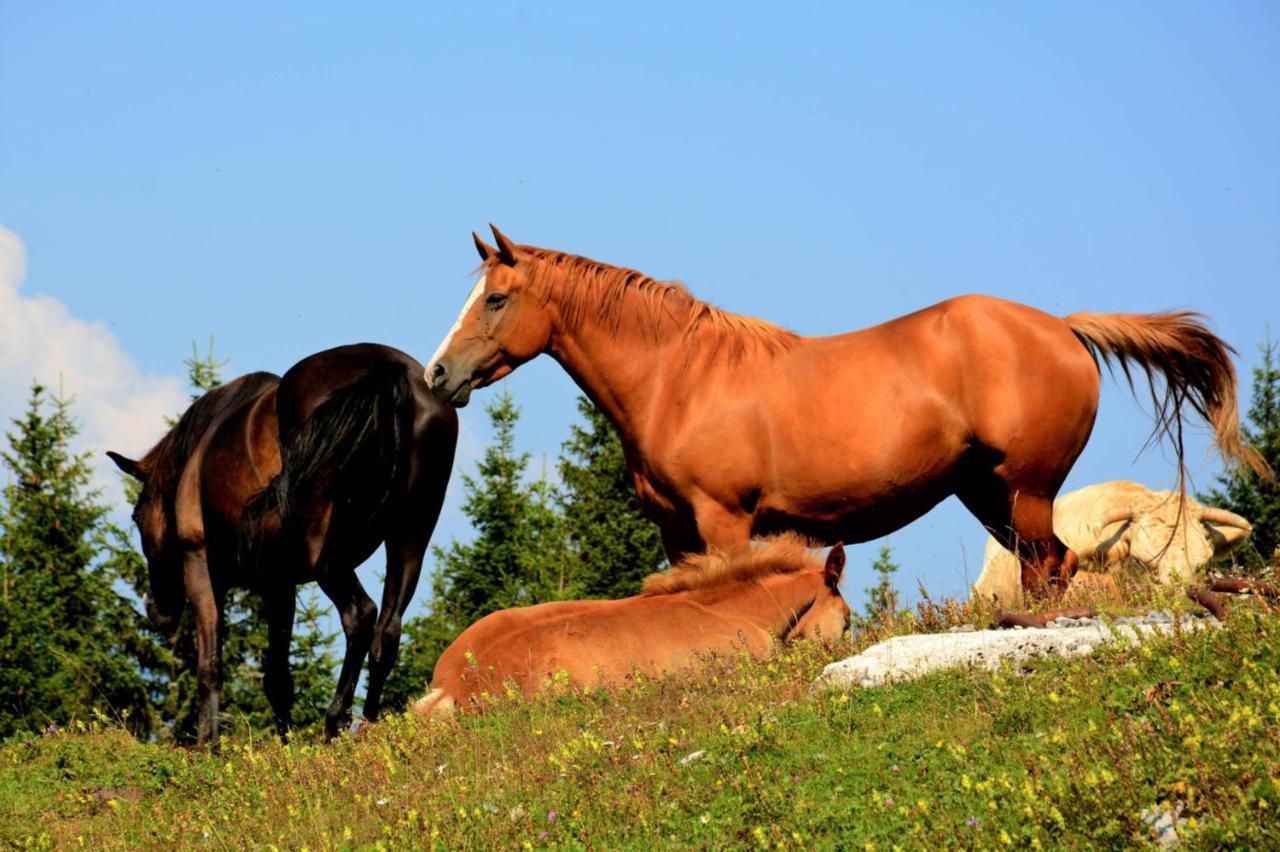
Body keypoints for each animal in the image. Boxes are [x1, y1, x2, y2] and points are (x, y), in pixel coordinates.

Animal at [110, 342, 458, 741]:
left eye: (137, 517)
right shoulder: (278, 582)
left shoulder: (202, 568)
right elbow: (278, 678)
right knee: (387, 631)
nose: (157, 610)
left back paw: (336, 720)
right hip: (410, 539)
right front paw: (284, 739)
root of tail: (389, 370)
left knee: (360, 615)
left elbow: (211, 665)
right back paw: (366, 727)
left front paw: (208, 742)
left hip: (326, 555)